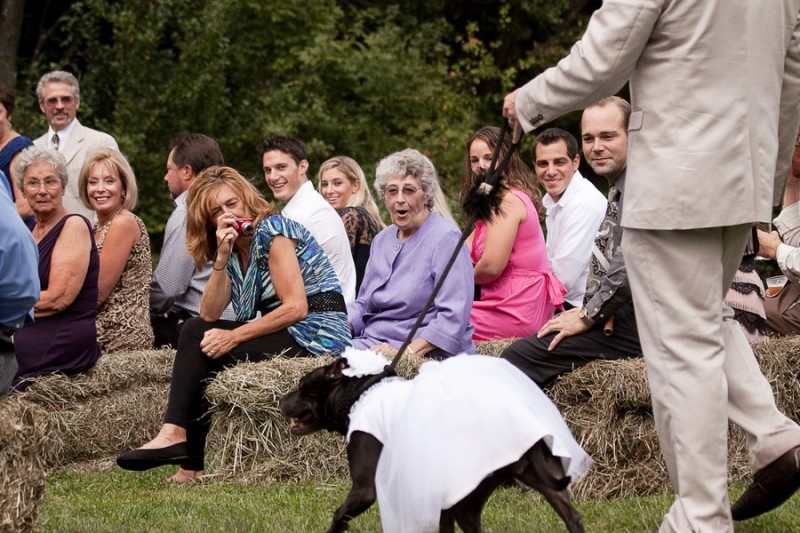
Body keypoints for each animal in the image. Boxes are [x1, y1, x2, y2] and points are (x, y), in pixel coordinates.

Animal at [282, 354, 588, 532]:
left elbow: (339, 517)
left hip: (469, 500)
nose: (281, 400)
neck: (358, 394)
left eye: (303, 386)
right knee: (572, 517)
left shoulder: (364, 490)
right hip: (541, 479)